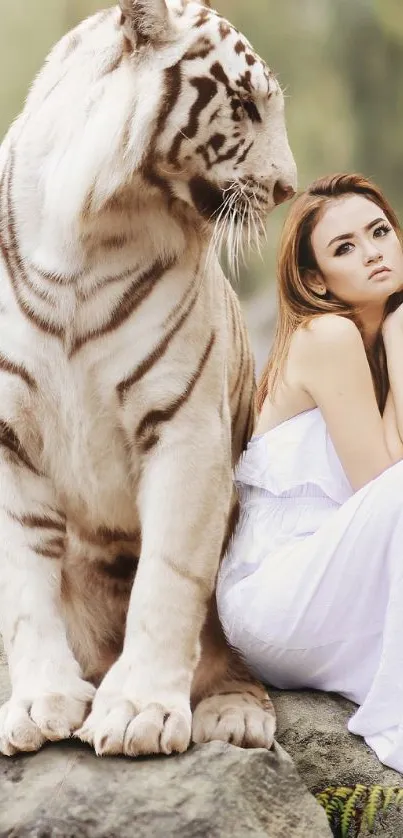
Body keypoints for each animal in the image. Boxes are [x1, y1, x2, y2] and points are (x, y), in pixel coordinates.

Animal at [0, 0, 296, 760]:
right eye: (245, 106)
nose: (288, 188)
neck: (87, 228)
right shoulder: (9, 439)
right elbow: (25, 585)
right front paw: (40, 703)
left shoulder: (185, 427)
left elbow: (168, 577)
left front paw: (137, 711)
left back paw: (233, 714)